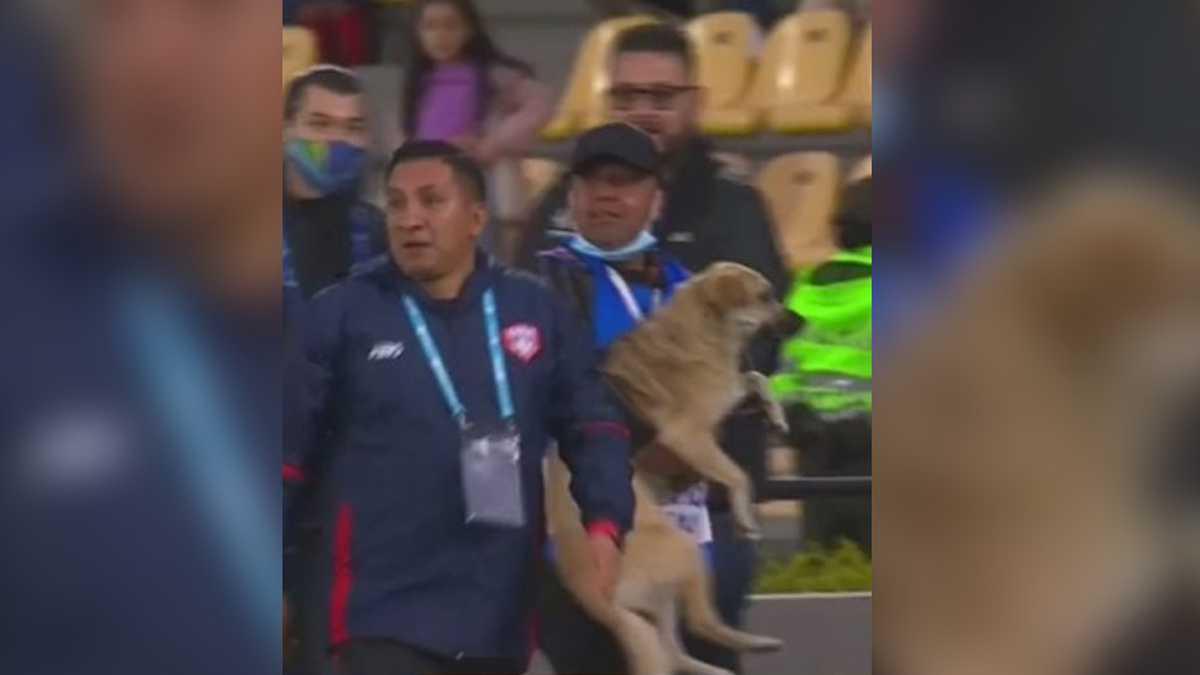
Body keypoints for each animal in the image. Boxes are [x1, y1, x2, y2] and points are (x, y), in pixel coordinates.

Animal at [547, 261, 792, 672]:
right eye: (765, 296)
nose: (800, 319)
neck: (700, 325)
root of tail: (598, 598)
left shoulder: (726, 393)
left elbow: (754, 378)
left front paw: (775, 414)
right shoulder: (688, 436)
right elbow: (738, 475)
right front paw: (745, 517)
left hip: (659, 598)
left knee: (672, 651)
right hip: (684, 550)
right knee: (701, 624)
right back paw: (752, 643)